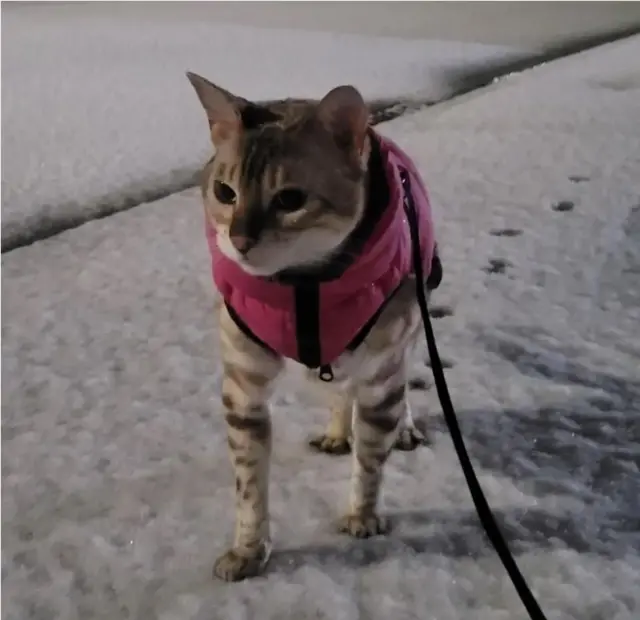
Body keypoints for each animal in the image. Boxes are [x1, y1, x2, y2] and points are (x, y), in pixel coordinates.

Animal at [185, 72, 440, 580]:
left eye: (290, 199)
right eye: (225, 192)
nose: (239, 240)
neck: (303, 286)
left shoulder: (383, 372)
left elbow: (371, 460)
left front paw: (362, 515)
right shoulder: (243, 385)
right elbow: (249, 485)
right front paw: (248, 550)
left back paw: (401, 428)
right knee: (338, 391)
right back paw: (337, 431)